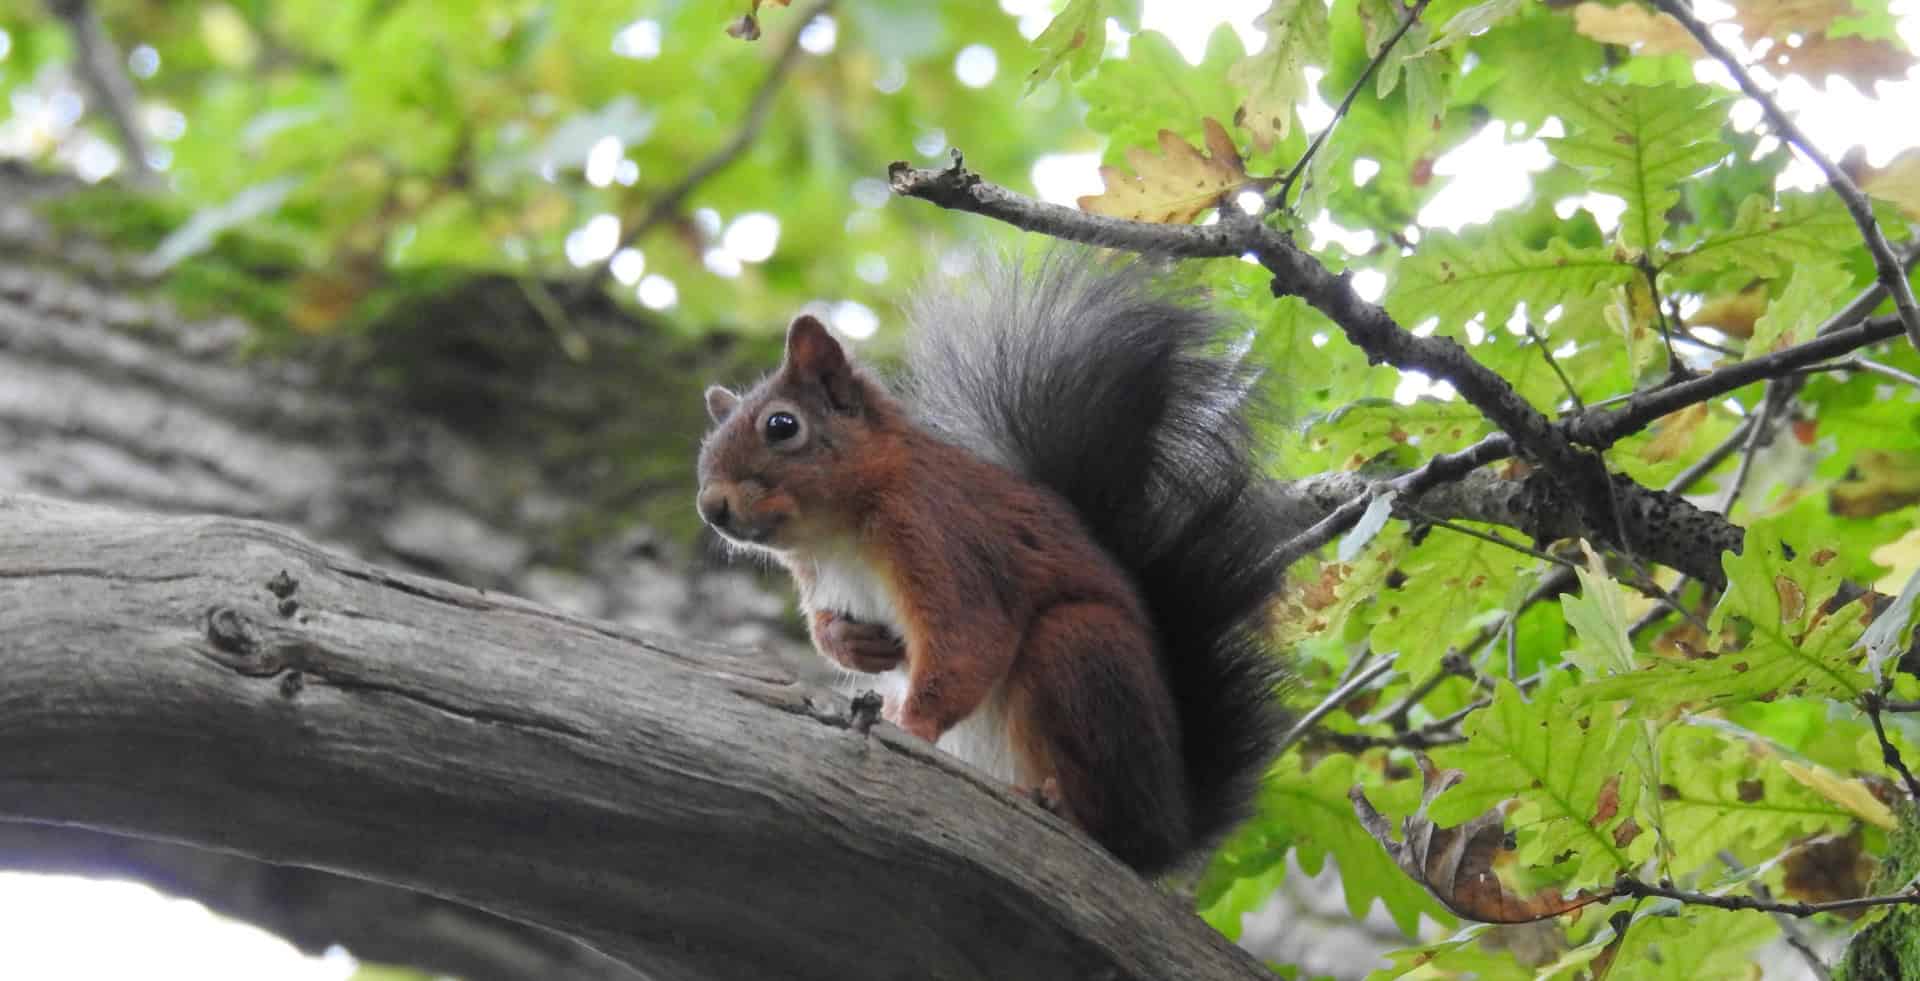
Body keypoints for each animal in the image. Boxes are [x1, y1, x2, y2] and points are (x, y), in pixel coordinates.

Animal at [691, 251, 1290, 875]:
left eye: (782, 426)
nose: (711, 507)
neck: (839, 534)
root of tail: (1175, 828)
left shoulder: (946, 539)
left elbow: (969, 640)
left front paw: (911, 724)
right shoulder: (819, 580)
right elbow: (827, 629)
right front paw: (854, 645)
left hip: (1081, 650)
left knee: (1119, 826)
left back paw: (1068, 808)